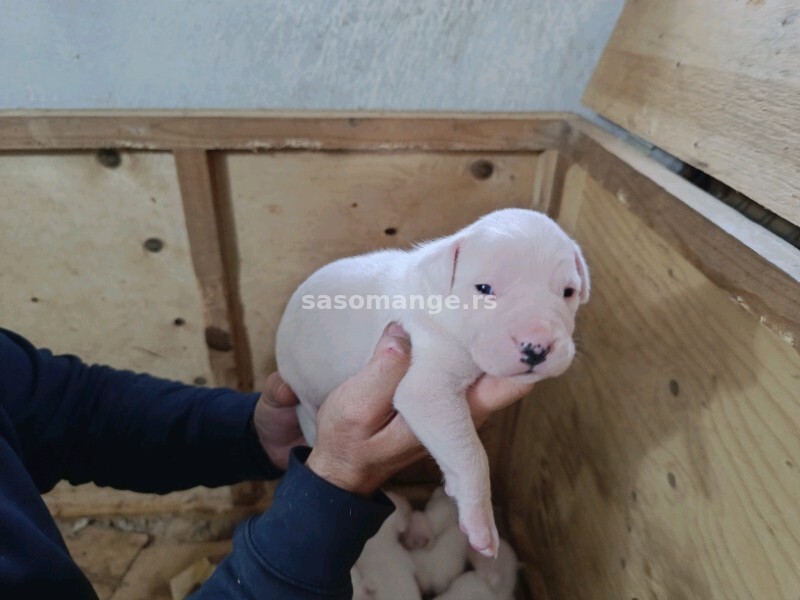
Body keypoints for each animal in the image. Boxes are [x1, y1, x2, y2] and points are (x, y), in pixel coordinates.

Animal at [278, 209, 592, 556]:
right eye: (484, 288)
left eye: (568, 292)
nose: (537, 347)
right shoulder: (426, 388)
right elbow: (471, 454)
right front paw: (481, 524)